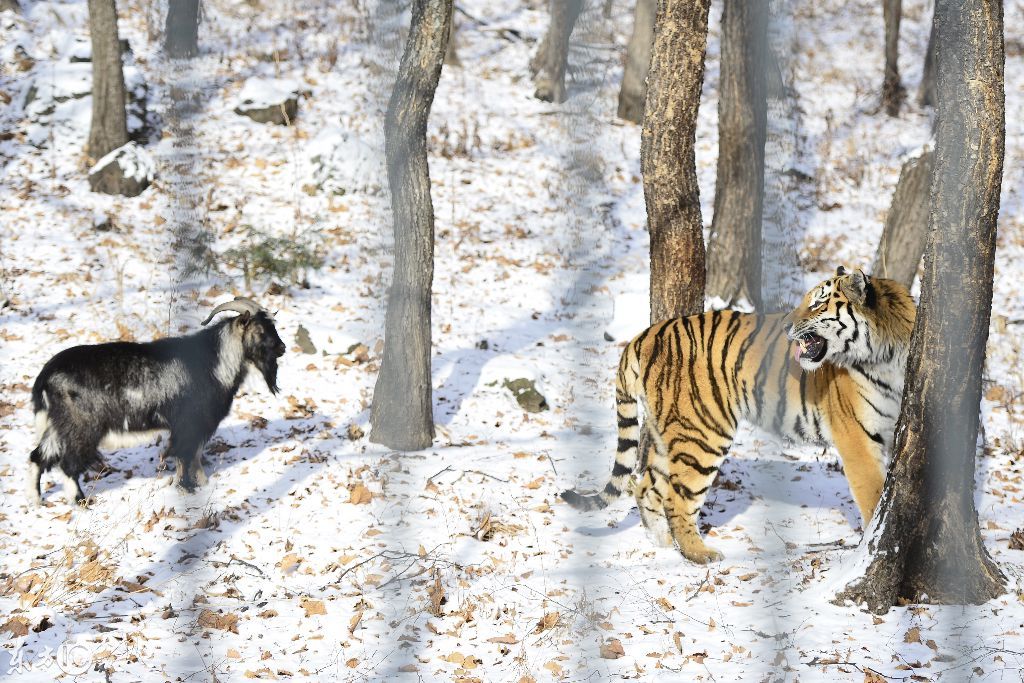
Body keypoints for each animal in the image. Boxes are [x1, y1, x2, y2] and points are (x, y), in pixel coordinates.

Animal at [29, 296, 284, 501]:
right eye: (260, 331)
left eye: (273, 326)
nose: (282, 348)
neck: (215, 362)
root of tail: (45, 377)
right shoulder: (189, 424)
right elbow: (185, 455)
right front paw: (187, 488)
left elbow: (195, 455)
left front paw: (202, 484)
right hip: (80, 427)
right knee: (67, 463)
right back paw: (80, 501)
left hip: (57, 427)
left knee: (38, 457)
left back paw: (37, 500)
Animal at [565, 266, 917, 561]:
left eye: (818, 303)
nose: (786, 326)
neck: (887, 355)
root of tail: (644, 334)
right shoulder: (857, 437)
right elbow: (873, 497)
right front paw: (868, 548)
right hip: (702, 434)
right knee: (677, 498)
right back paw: (699, 554)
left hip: (666, 432)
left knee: (646, 485)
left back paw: (663, 546)